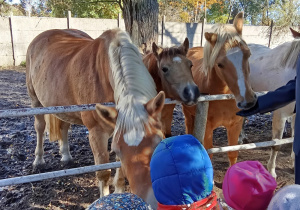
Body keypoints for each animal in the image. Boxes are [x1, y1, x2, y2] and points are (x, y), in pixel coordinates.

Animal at [25, 28, 166, 208]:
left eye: (158, 141)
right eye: (116, 151)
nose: (151, 201)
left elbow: (120, 174)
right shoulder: (97, 133)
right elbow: (104, 173)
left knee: (64, 127)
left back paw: (66, 156)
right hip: (35, 101)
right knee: (40, 127)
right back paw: (38, 160)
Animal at [182, 11, 256, 166]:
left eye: (248, 54)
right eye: (220, 64)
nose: (248, 101)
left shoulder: (235, 125)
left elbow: (233, 153)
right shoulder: (208, 128)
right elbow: (209, 154)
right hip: (188, 114)